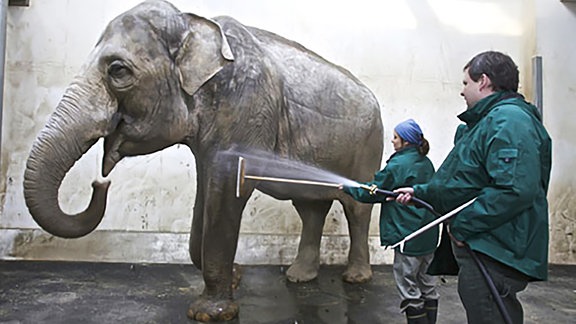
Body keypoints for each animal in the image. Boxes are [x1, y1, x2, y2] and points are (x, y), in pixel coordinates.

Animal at [21, 0, 382, 320]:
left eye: (118, 70)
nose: (101, 182)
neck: (193, 23)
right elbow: (204, 192)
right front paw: (235, 277)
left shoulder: (245, 107)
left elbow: (228, 191)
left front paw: (209, 313)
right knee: (310, 207)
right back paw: (298, 276)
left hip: (368, 147)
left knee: (356, 208)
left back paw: (356, 277)